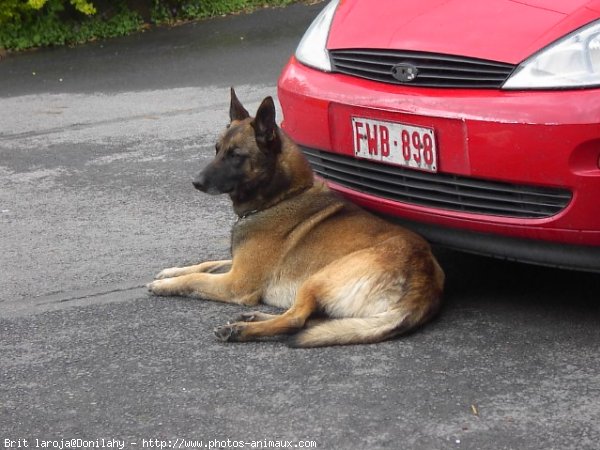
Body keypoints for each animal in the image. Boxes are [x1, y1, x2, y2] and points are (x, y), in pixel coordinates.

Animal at [147, 89, 442, 348]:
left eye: (235, 156)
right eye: (216, 149)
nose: (195, 182)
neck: (280, 197)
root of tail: (423, 277)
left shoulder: (236, 283)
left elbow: (195, 279)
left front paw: (164, 285)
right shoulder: (236, 265)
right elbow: (204, 264)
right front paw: (170, 272)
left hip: (316, 278)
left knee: (296, 320)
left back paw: (241, 330)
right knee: (310, 319)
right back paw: (254, 319)